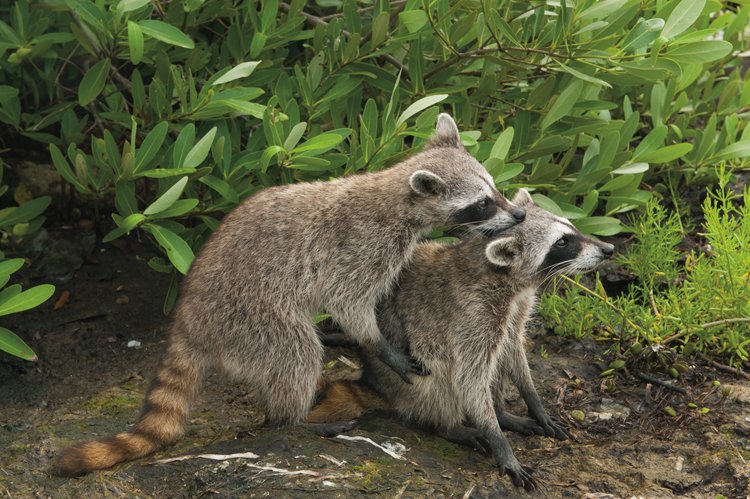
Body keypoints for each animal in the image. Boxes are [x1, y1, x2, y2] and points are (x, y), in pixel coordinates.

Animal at [54, 113, 528, 476]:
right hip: (249, 317)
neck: (397, 198)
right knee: (295, 350)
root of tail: (189, 320)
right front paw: (378, 344)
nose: (520, 214)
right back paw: (292, 419)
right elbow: (346, 300)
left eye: (496, 189)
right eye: (483, 203)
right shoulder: (360, 245)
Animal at [308, 191, 612, 492]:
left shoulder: (514, 309)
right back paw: (451, 425)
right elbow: (469, 377)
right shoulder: (472, 315)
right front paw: (500, 441)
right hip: (406, 380)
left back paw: (501, 412)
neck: (504, 278)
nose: (608, 249)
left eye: (570, 227)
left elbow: (513, 348)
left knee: (497, 362)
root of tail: (373, 383)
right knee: (440, 379)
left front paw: (533, 401)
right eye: (562, 242)